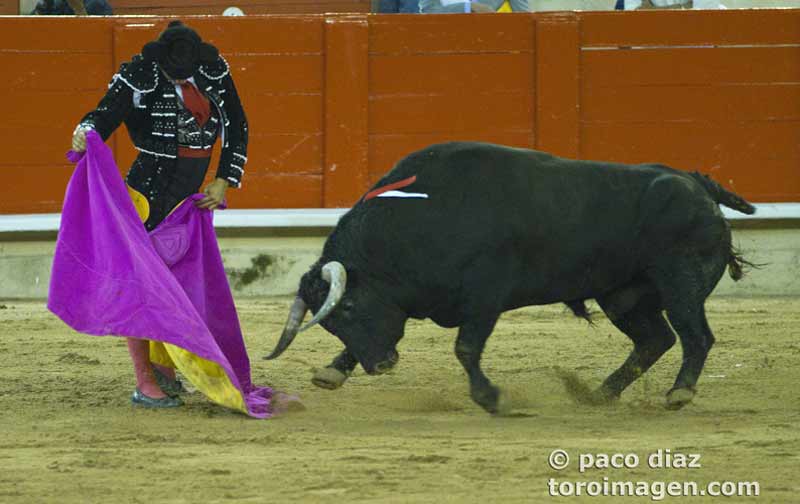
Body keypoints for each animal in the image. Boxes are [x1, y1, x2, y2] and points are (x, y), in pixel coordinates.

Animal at [264, 141, 756, 414]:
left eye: (348, 306)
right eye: (330, 321)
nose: (381, 366)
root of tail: (694, 181)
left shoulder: (485, 296)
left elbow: (465, 349)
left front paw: (491, 399)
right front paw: (332, 372)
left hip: (680, 281)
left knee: (695, 336)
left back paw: (679, 394)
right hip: (623, 296)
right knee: (656, 339)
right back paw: (598, 395)